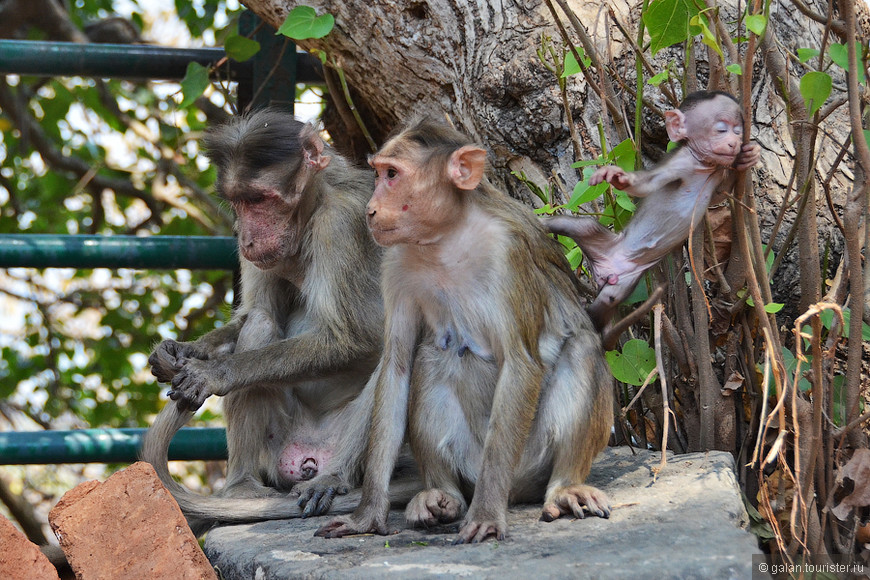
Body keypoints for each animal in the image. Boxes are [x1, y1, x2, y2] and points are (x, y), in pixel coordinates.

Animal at [143, 110, 422, 536]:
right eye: (238, 202)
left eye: (259, 199)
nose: (247, 239)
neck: (314, 206)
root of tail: (307, 454)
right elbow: (256, 315)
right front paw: (180, 351)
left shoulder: (339, 223)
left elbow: (353, 339)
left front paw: (215, 373)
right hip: (277, 445)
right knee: (260, 324)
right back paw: (241, 486)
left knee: (392, 356)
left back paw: (335, 477)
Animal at [314, 118, 612, 544]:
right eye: (378, 173)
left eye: (392, 175)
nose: (370, 209)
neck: (446, 238)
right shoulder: (395, 262)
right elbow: (397, 367)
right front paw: (367, 515)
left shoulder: (507, 251)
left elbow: (521, 363)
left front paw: (485, 514)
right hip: (469, 459)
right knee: (429, 357)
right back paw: (443, 495)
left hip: (525, 461)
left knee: (582, 347)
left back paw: (564, 486)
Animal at [548, 92, 760, 334]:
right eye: (721, 129)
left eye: (738, 131)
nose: (734, 143)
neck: (703, 165)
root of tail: (604, 268)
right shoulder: (680, 163)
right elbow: (646, 185)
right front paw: (618, 178)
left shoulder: (716, 174)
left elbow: (718, 195)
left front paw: (747, 158)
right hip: (594, 236)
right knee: (575, 226)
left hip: (623, 282)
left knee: (608, 301)